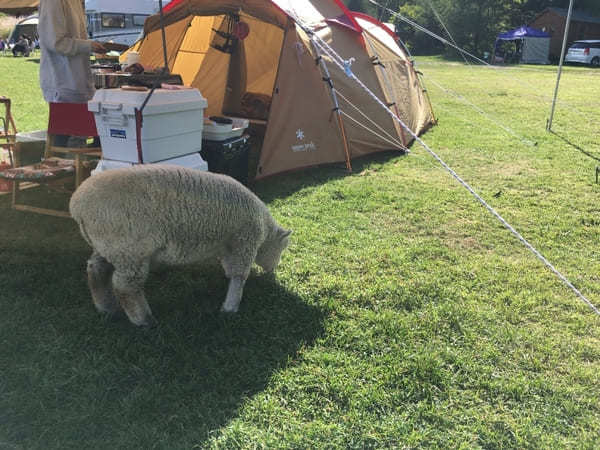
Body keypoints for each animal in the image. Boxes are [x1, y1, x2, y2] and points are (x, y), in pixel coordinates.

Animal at [69, 165, 292, 326]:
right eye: (282, 248)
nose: (273, 271)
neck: (264, 230)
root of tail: (77, 206)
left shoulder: (230, 245)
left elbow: (230, 270)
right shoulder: (244, 242)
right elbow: (239, 276)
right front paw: (230, 307)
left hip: (108, 246)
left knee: (96, 270)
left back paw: (105, 307)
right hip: (129, 250)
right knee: (126, 286)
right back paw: (143, 320)